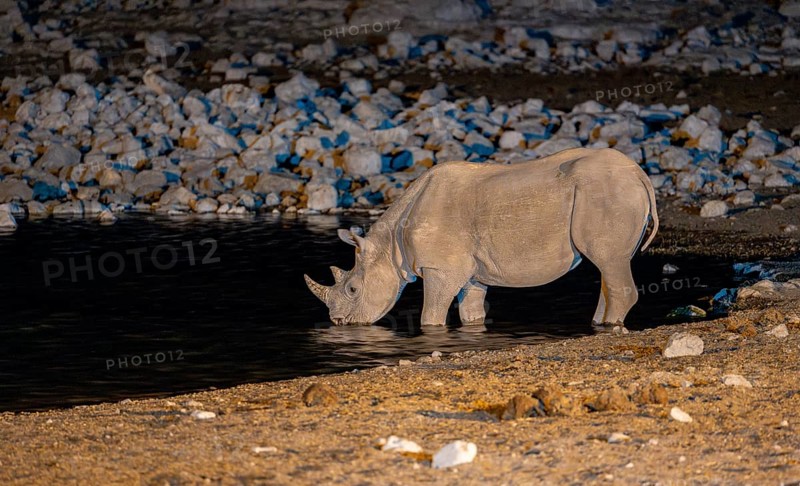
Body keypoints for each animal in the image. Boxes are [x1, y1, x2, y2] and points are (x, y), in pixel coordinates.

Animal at [305, 147, 658, 327]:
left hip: (606, 191)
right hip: (610, 191)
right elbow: (471, 310)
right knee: (609, 265)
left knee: (609, 260)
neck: (390, 244)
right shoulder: (472, 270)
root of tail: (640, 174)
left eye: (352, 288)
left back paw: (609, 326)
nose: (338, 321)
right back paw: (599, 323)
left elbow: (430, 315)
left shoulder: (440, 268)